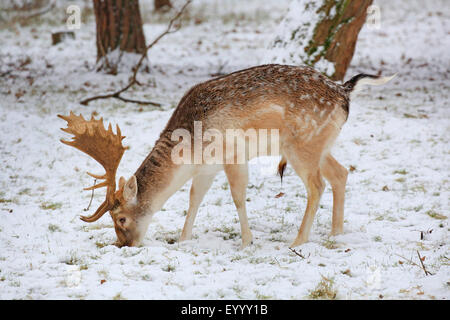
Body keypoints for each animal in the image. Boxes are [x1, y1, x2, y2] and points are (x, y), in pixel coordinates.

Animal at [59, 64, 394, 248]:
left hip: (302, 145)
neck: (191, 149)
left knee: (317, 186)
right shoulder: (207, 168)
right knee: (341, 173)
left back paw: (298, 241)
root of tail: (344, 91)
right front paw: (183, 240)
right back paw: (336, 234)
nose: (124, 245)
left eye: (121, 218)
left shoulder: (233, 154)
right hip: (321, 144)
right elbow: (194, 198)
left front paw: (247, 241)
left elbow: (237, 196)